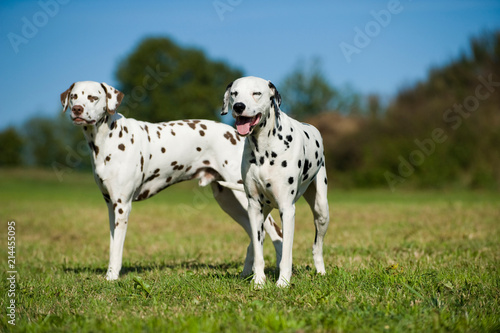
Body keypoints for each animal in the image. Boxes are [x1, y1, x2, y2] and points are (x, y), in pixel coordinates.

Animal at [60, 81, 284, 280]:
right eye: (74, 97)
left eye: (93, 97)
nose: (78, 109)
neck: (108, 139)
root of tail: (237, 134)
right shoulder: (111, 205)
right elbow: (112, 244)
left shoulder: (122, 206)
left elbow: (117, 249)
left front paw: (112, 277)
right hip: (231, 202)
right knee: (256, 235)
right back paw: (247, 273)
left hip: (246, 198)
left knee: (277, 234)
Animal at [221, 76, 330, 286]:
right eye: (234, 93)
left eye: (256, 93)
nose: (238, 106)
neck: (264, 148)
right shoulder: (254, 208)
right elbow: (258, 250)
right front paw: (258, 281)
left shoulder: (287, 210)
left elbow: (286, 252)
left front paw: (283, 282)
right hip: (263, 213)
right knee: (252, 245)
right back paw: (246, 273)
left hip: (321, 211)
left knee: (317, 246)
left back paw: (321, 271)